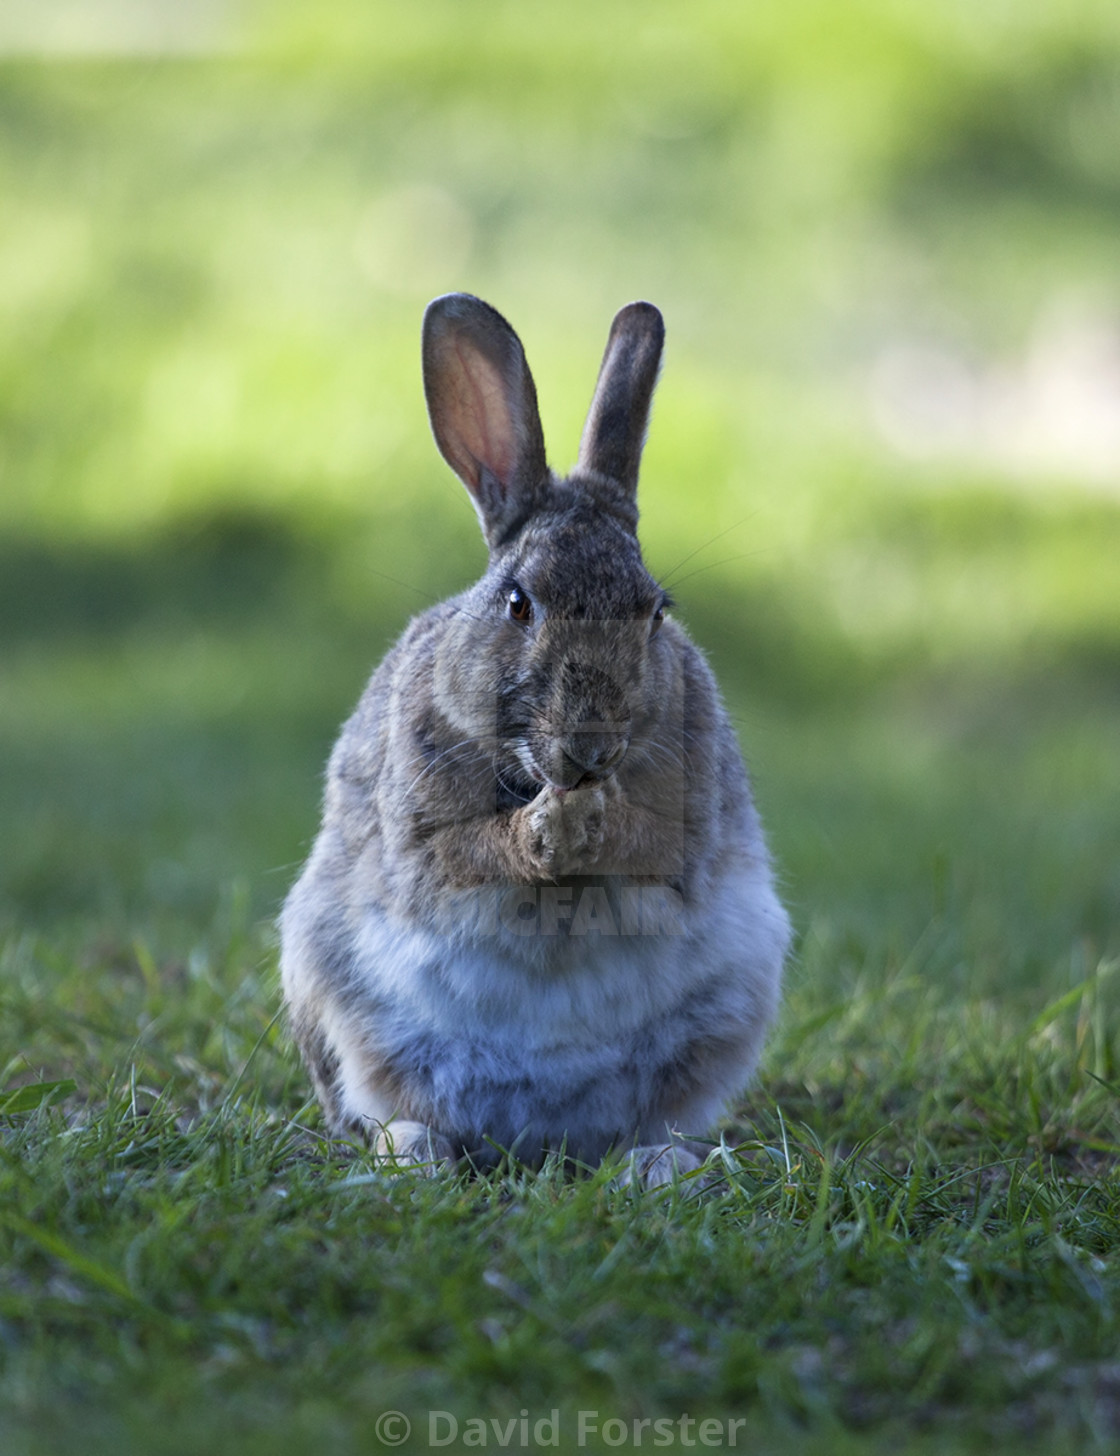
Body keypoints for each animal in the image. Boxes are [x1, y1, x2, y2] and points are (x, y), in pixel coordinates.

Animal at [278, 292, 786, 1182]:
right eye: (519, 604)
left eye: (656, 612)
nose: (591, 747)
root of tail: (538, 1139)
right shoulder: (420, 834)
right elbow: (463, 853)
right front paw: (547, 831)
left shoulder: (692, 819)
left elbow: (657, 848)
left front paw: (591, 823)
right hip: (330, 993)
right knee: (390, 1110)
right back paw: (419, 1154)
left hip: (730, 1008)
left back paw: (653, 1166)